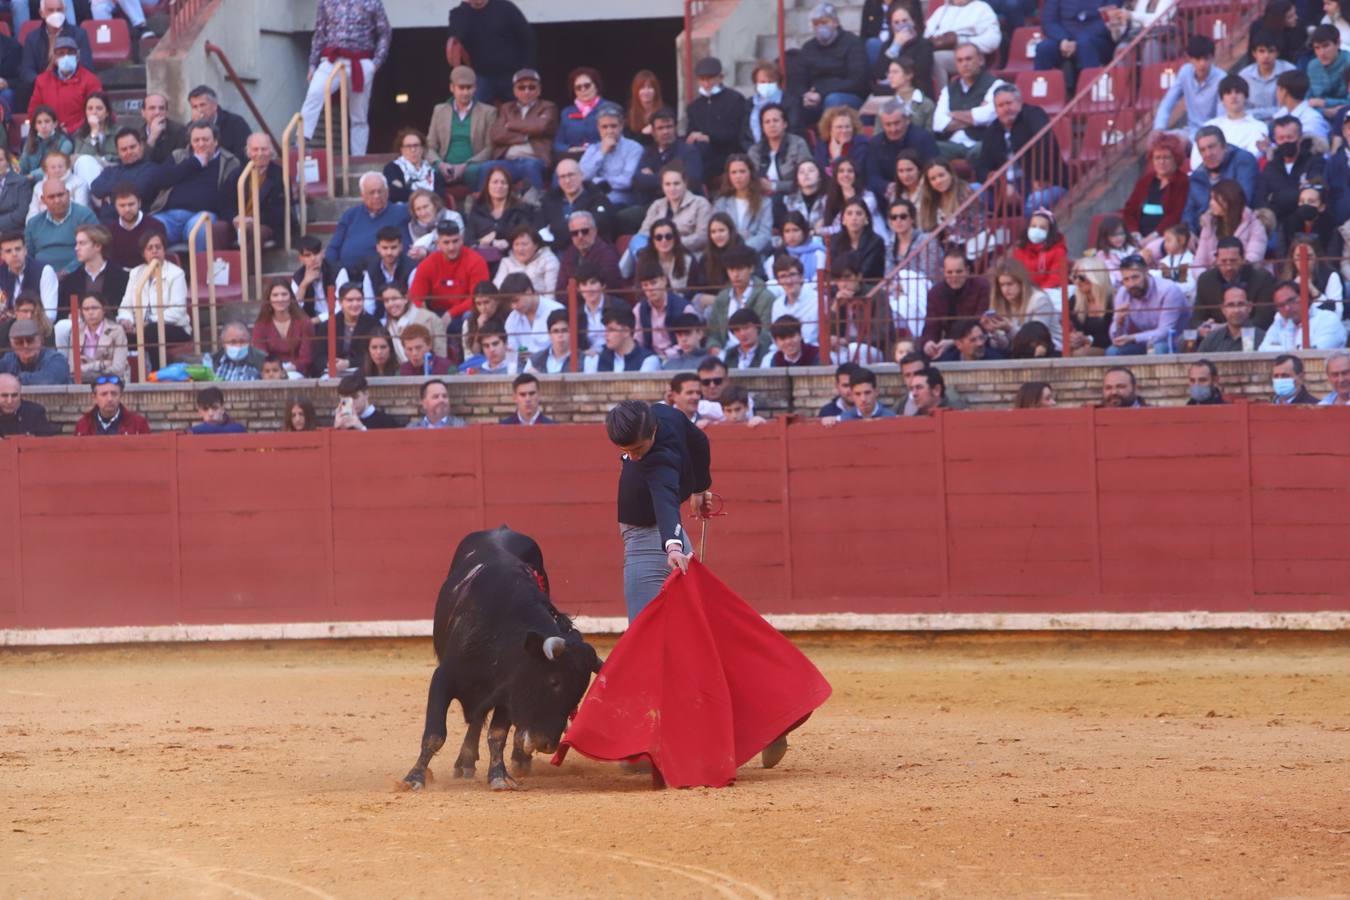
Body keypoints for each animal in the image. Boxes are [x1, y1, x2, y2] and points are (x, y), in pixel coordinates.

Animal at [399, 528, 602, 788]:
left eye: (579, 693)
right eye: (554, 681)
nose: (546, 744)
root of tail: (501, 528)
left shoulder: (507, 690)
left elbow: (497, 734)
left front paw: (498, 776)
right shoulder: (443, 679)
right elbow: (435, 733)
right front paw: (414, 778)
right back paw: (465, 763)